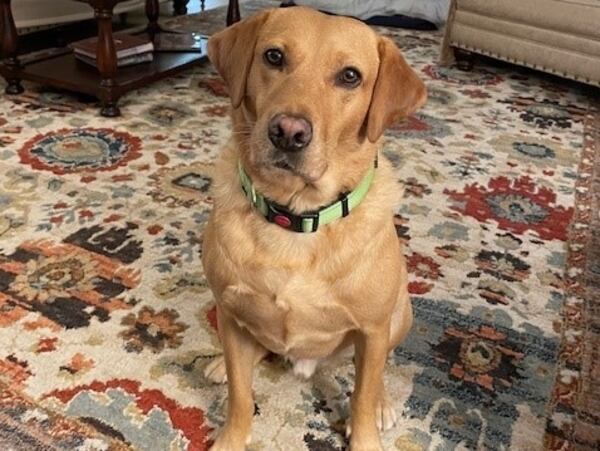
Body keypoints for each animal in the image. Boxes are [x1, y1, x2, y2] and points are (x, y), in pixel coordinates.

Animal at [202, 7, 426, 451]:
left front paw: (365, 433)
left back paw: (383, 403)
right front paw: (232, 436)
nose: (288, 132)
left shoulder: (372, 331)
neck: (296, 219)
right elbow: (240, 393)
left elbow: (362, 394)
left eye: (350, 76)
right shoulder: (231, 313)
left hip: (399, 315)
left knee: (376, 373)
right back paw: (220, 363)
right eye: (273, 56)